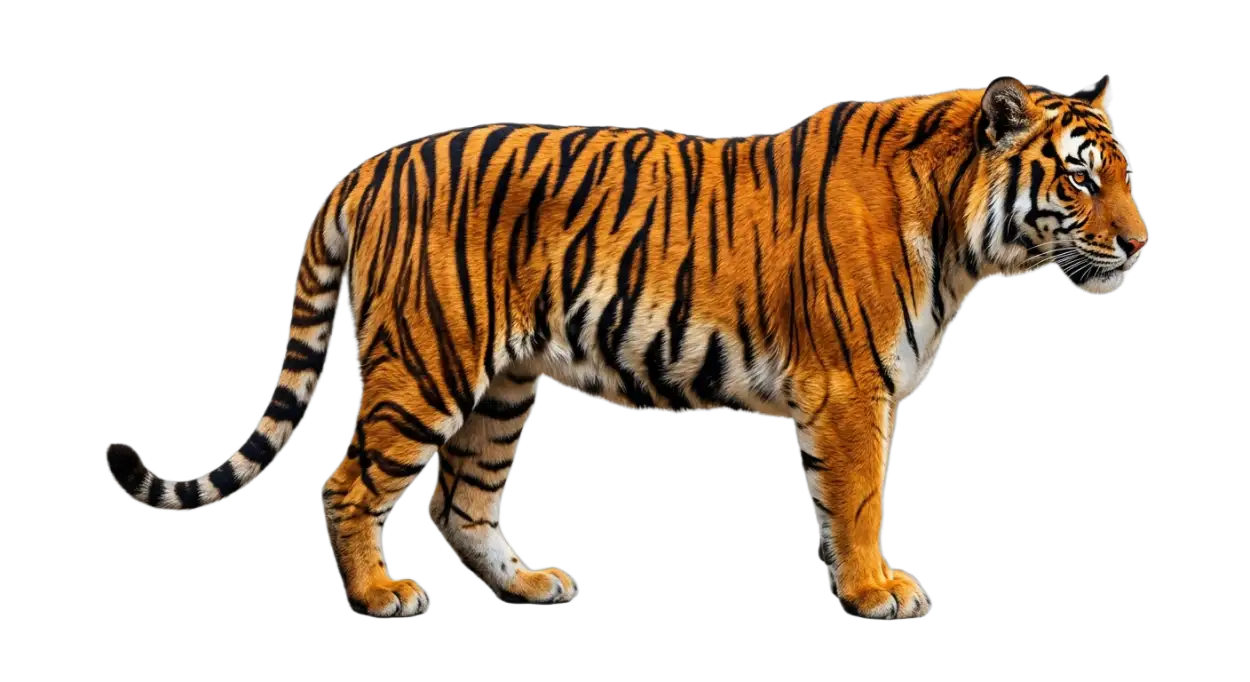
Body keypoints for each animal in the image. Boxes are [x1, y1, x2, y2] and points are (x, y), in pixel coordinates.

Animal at [105, 74, 1148, 620]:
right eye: (1081, 180)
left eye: (1125, 176)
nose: (1142, 245)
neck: (963, 232)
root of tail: (369, 166)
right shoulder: (852, 389)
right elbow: (857, 502)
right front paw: (874, 591)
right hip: (428, 366)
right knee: (349, 479)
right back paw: (376, 596)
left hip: (502, 388)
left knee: (459, 500)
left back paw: (530, 583)